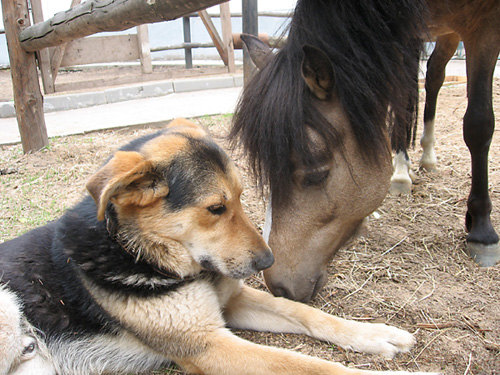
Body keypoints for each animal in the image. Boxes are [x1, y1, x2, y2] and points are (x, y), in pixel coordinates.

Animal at [0, 119, 438, 375]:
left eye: (243, 197)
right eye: (216, 208)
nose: (268, 261)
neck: (142, 252)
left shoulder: (234, 302)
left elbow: (306, 313)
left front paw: (376, 335)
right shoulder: (207, 345)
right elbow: (309, 365)